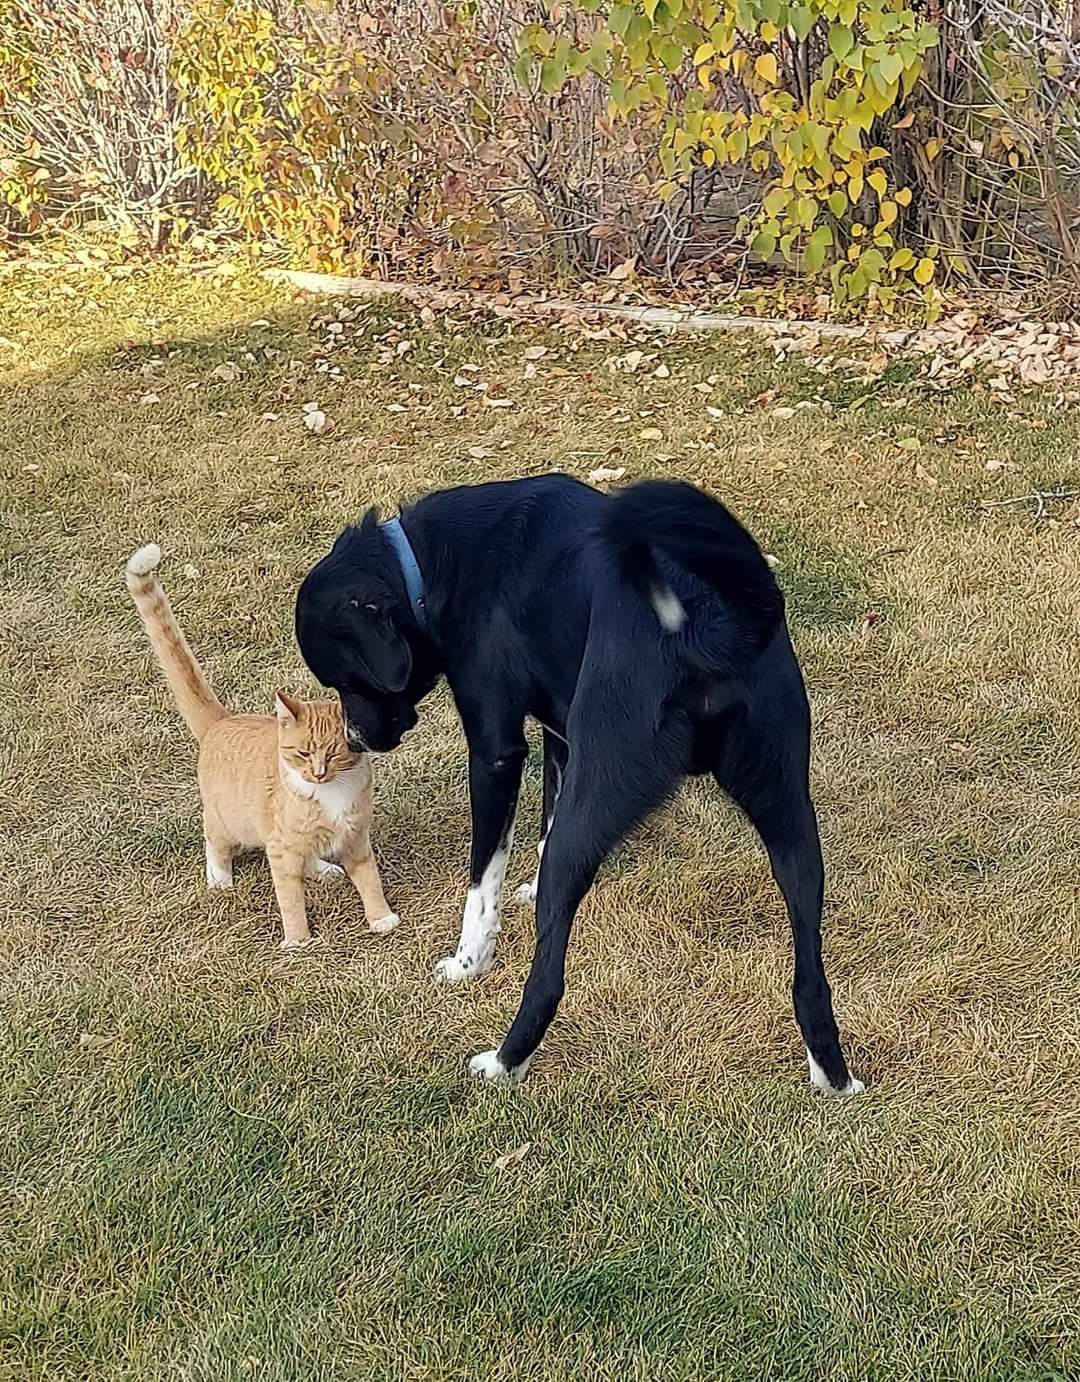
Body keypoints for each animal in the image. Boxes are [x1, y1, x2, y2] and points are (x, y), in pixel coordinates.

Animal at [126, 544, 395, 945]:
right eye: (302, 754)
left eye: (333, 754)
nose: (317, 774)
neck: (331, 792)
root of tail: (221, 721)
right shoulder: (282, 850)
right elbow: (290, 899)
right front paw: (298, 941)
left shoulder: (355, 840)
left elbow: (370, 881)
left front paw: (381, 919)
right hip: (228, 822)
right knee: (214, 842)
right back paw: (220, 879)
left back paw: (324, 870)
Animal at [293, 475, 857, 1089]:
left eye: (347, 679)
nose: (356, 740)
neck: (436, 560)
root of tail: (708, 625)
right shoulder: (560, 737)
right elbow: (542, 827)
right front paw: (529, 889)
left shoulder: (497, 752)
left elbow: (483, 880)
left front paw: (469, 962)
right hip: (791, 818)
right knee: (810, 975)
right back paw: (834, 1075)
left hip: (597, 796)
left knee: (548, 977)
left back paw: (504, 1062)